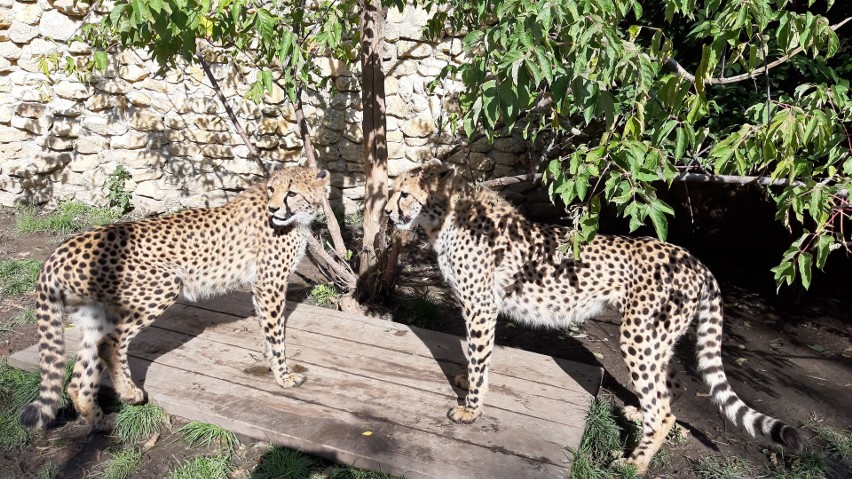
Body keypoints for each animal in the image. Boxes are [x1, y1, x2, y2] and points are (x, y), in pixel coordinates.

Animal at [22, 167, 330, 434]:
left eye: (291, 192)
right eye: (272, 190)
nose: (273, 209)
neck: (296, 219)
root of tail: (63, 248)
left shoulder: (261, 286)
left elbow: (267, 329)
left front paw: (270, 364)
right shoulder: (270, 284)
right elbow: (277, 335)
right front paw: (284, 376)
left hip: (96, 313)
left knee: (80, 375)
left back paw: (101, 422)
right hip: (163, 286)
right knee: (110, 344)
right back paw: (129, 393)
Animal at [386, 159, 804, 474]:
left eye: (404, 193)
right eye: (392, 191)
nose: (387, 213)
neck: (449, 216)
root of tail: (694, 259)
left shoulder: (481, 307)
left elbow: (479, 355)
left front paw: (470, 409)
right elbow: (477, 357)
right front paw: (466, 382)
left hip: (639, 337)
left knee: (662, 406)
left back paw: (634, 462)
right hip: (657, 338)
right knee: (671, 389)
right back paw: (638, 416)